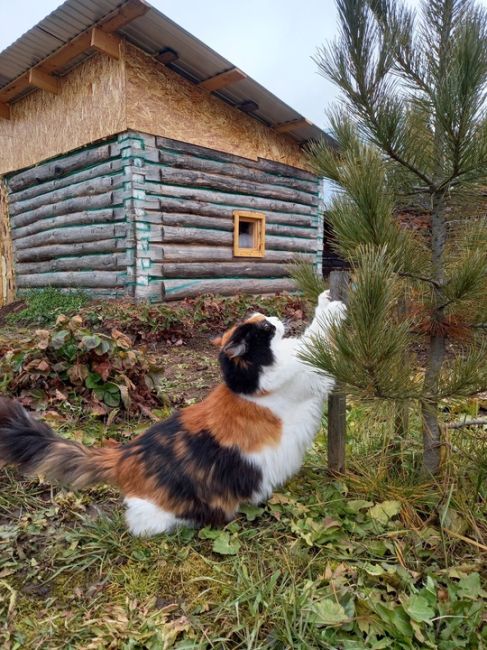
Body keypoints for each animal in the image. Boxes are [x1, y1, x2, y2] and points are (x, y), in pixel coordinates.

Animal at [0, 292, 346, 536]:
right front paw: (332, 306)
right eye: (265, 327)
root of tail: (123, 454)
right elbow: (317, 334)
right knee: (139, 525)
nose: (275, 317)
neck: (249, 385)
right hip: (160, 512)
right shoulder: (308, 373)